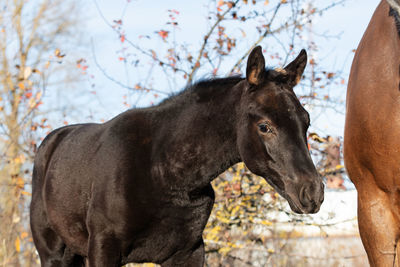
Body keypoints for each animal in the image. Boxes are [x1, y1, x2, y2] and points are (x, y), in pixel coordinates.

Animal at [30, 47, 324, 266]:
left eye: (306, 121)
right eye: (264, 126)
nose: (312, 193)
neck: (164, 172)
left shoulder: (188, 252)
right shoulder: (103, 249)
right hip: (54, 254)